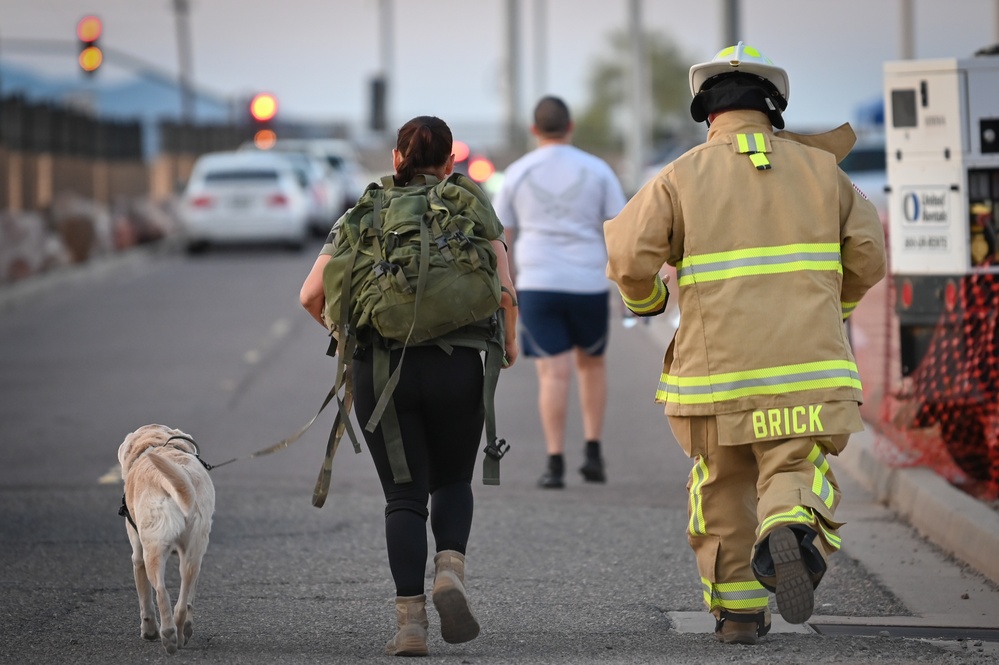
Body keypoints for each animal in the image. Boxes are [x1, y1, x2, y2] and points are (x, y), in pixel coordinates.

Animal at [119, 422, 217, 652]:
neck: (156, 444)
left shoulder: (138, 558)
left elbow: (145, 598)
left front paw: (149, 631)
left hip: (152, 552)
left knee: (161, 592)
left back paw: (168, 635)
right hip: (193, 554)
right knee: (182, 602)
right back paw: (181, 633)